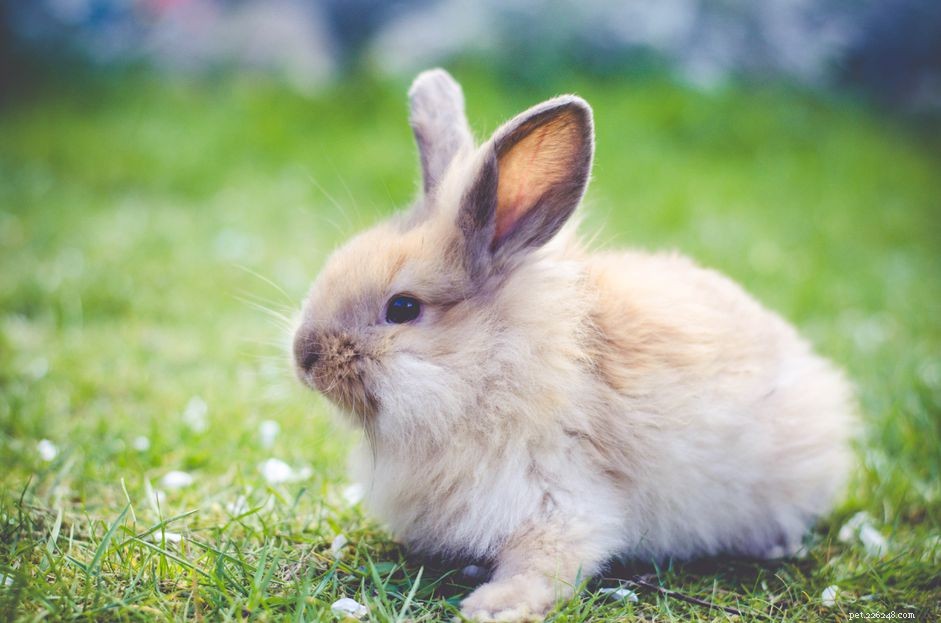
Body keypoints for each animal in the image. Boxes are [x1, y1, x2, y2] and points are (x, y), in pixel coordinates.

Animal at [292, 68, 856, 622]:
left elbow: (545, 563)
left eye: (403, 308)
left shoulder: (557, 500)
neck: (494, 366)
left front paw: (494, 606)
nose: (303, 357)